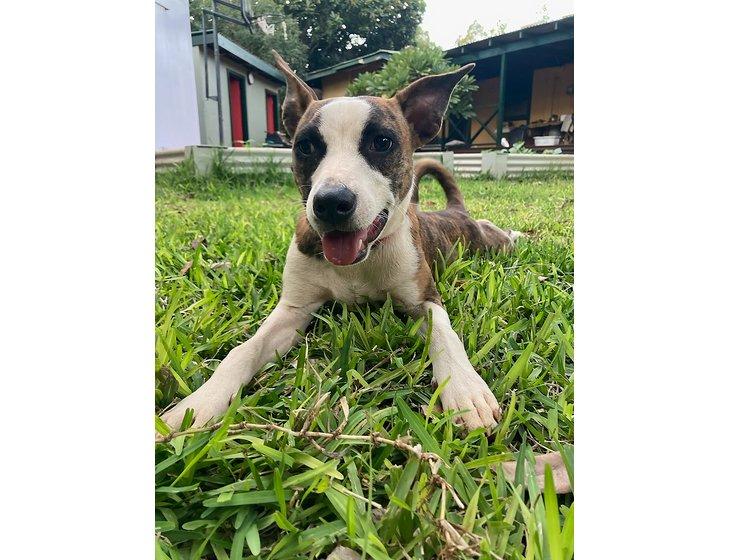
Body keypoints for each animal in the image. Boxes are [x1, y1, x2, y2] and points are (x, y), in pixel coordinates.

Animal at [161, 53, 516, 434]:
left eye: (382, 142)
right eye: (306, 146)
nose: (331, 202)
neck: (360, 262)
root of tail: (455, 211)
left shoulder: (424, 300)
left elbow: (445, 334)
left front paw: (465, 389)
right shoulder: (294, 309)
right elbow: (244, 350)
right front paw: (200, 402)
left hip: (486, 241)